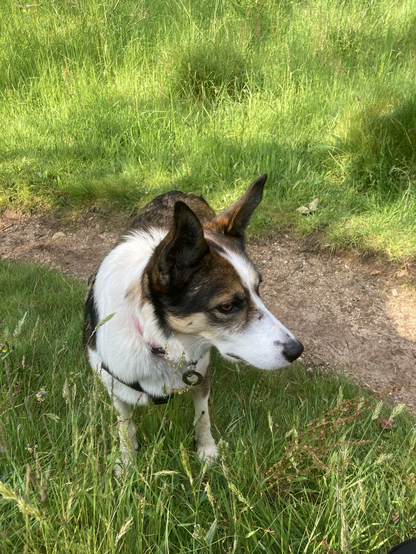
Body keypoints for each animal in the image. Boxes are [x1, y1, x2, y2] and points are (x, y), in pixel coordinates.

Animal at [84, 173, 303, 473]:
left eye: (259, 289)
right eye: (227, 306)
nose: (296, 350)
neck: (158, 340)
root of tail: (182, 192)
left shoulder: (201, 373)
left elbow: (202, 414)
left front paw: (206, 449)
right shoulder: (114, 384)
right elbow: (125, 426)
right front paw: (127, 459)